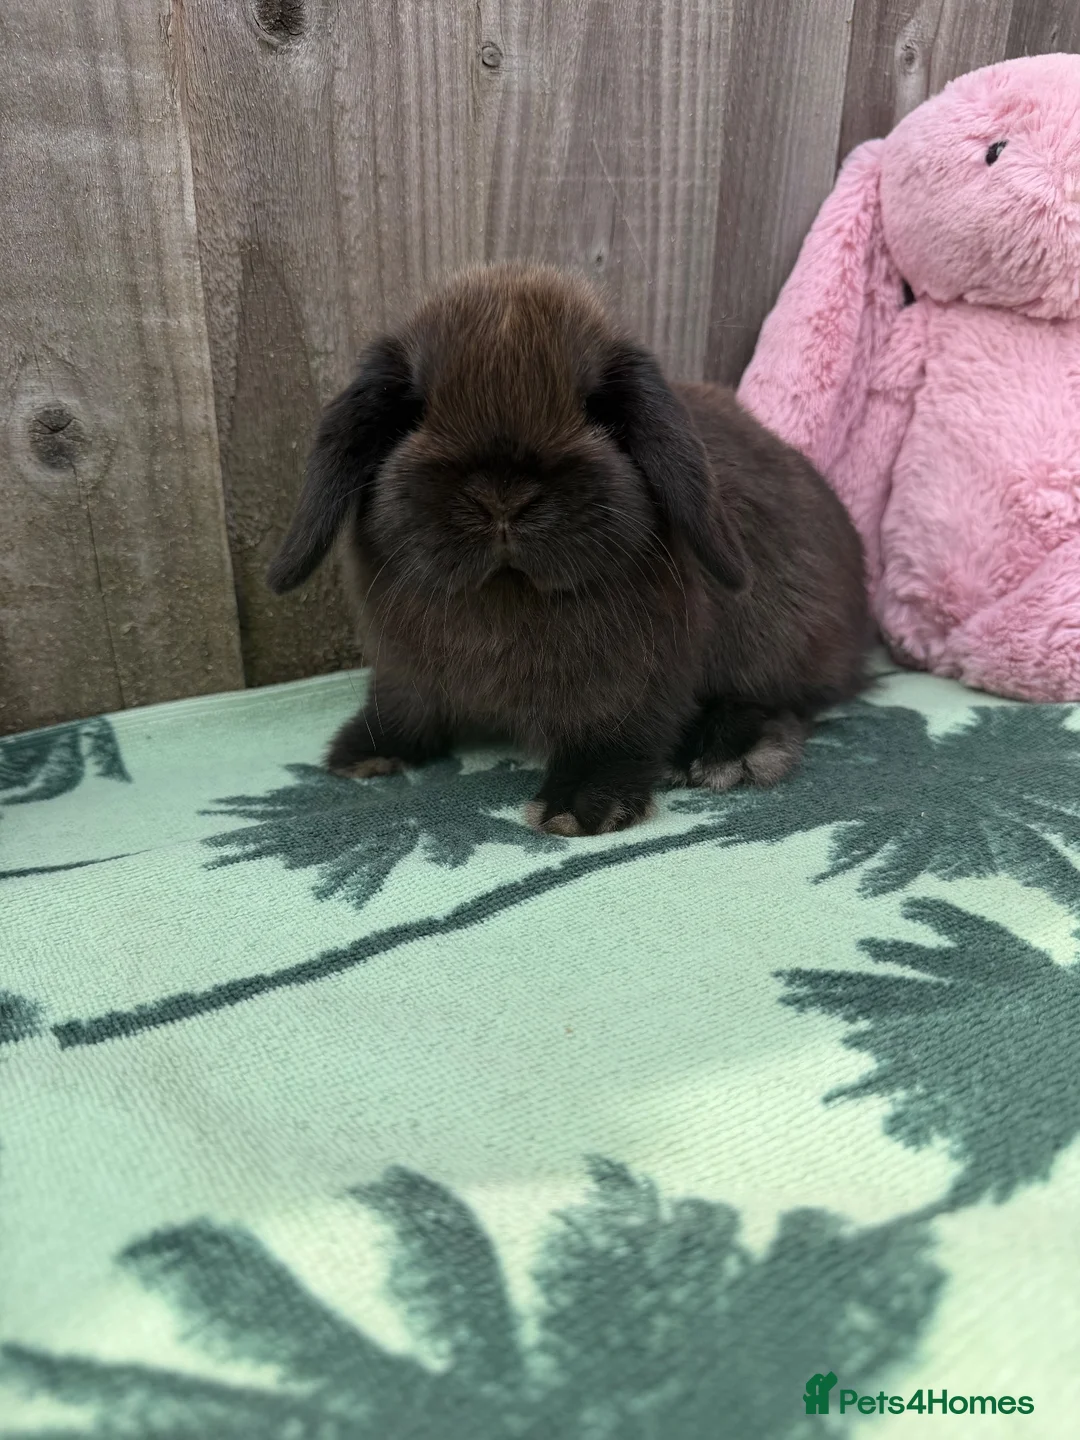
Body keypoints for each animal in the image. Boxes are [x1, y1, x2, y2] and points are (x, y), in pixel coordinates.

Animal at [268, 264, 870, 836]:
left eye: (597, 410)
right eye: (412, 410)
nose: (503, 496)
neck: (505, 592)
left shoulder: (631, 681)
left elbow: (613, 735)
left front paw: (581, 806)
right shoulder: (403, 670)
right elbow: (405, 709)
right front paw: (364, 752)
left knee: (791, 700)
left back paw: (729, 750)